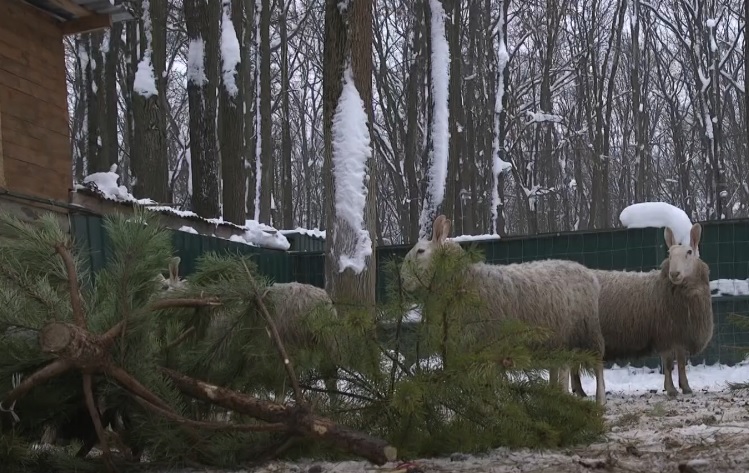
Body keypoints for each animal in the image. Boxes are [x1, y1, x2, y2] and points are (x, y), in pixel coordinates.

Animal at [398, 216, 608, 404]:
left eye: (420, 251)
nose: (402, 279)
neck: (465, 282)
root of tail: (588, 273)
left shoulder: (488, 345)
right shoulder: (467, 348)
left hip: (585, 331)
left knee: (596, 366)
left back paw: (599, 401)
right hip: (556, 338)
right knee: (558, 367)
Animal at [568, 223, 712, 396]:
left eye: (689, 252)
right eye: (669, 254)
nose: (674, 273)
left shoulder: (679, 334)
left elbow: (682, 363)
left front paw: (686, 387)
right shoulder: (665, 333)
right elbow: (668, 363)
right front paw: (671, 389)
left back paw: (578, 390)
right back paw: (579, 390)